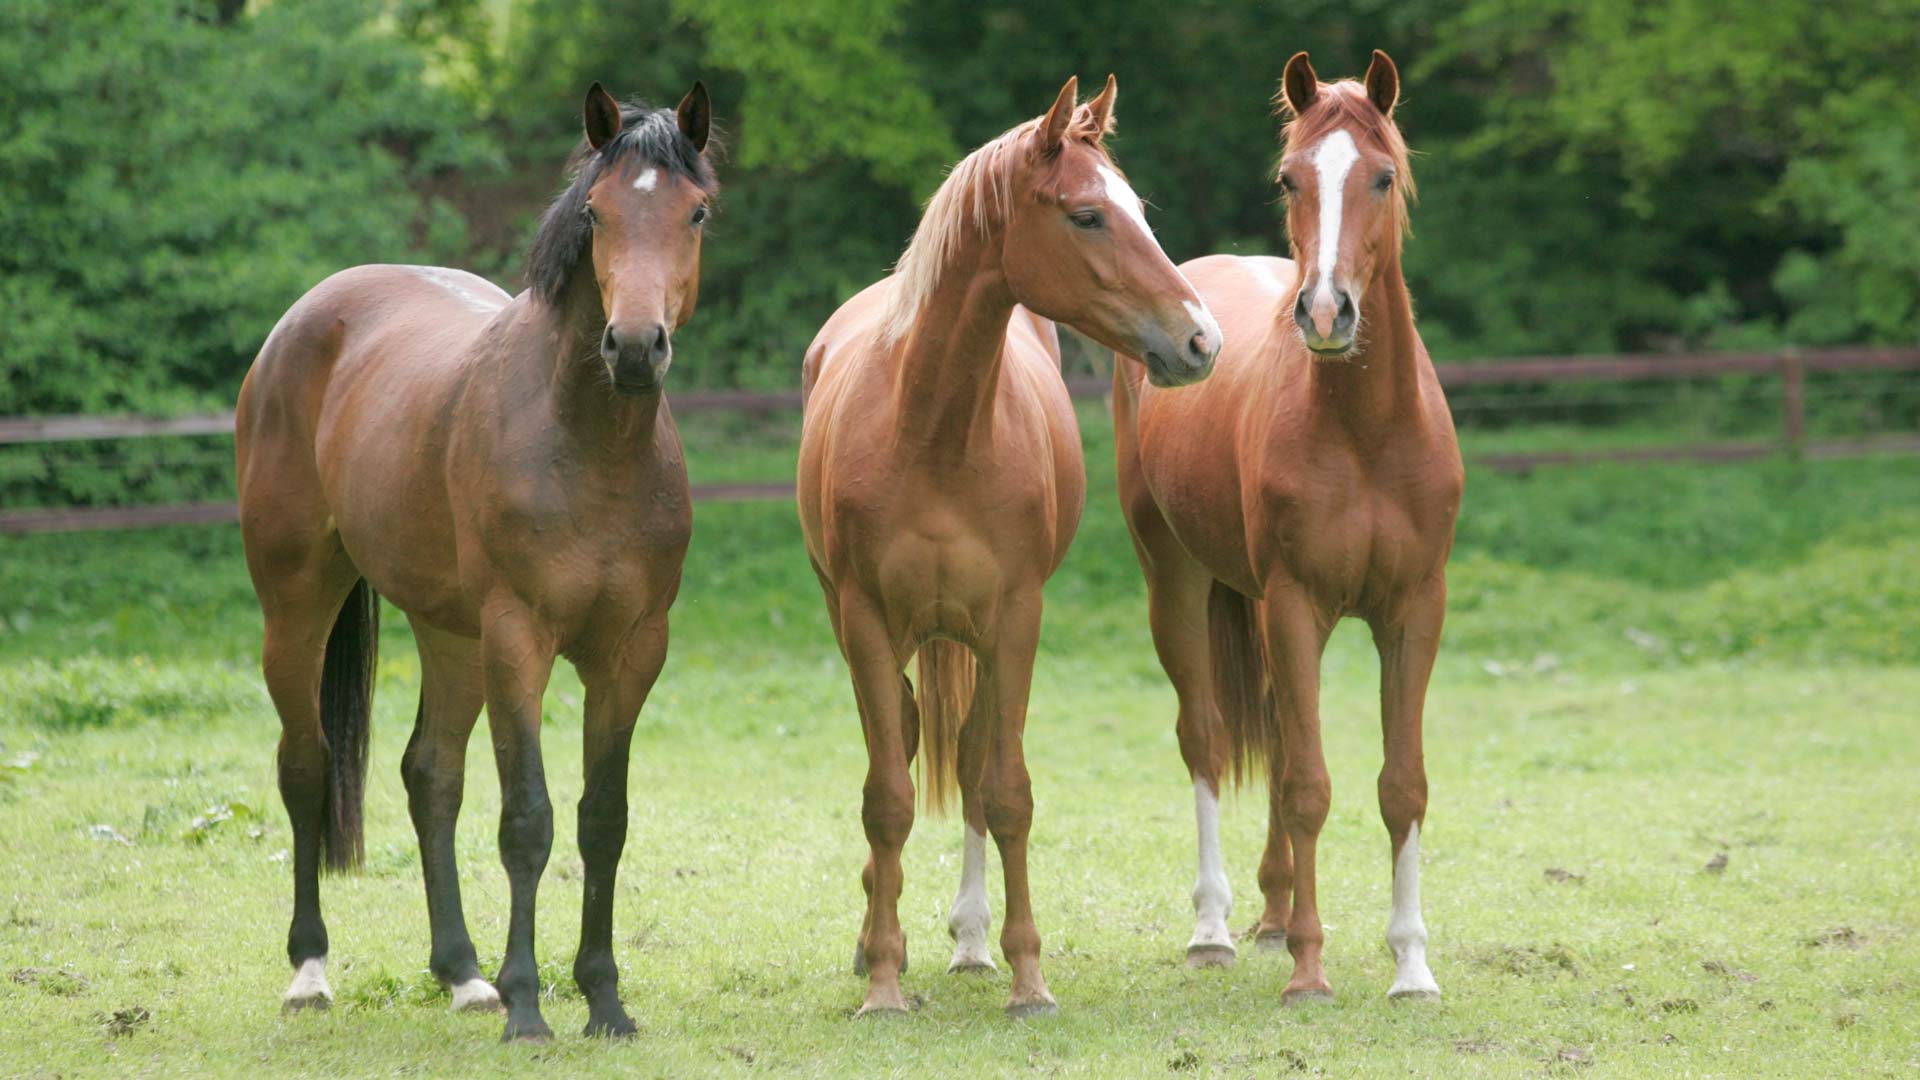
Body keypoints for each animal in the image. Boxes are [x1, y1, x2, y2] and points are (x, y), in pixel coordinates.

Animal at [236, 79, 718, 1037]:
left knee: (431, 776)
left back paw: (461, 972)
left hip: (450, 634)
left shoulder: (631, 653)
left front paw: (603, 999)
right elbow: (527, 819)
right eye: (598, 213)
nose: (634, 346)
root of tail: (304, 320)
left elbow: (602, 818)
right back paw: (310, 969)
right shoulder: (519, 641)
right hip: (299, 603)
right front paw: (529, 1004)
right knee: (306, 766)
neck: (589, 447)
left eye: (696, 211)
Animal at [798, 77, 1221, 1014]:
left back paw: (971, 944)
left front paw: (1028, 975)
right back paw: (884, 939)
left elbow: (1007, 791)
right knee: (909, 742)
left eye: (1138, 209)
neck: (934, 433)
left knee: (969, 758)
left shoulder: (1015, 619)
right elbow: (888, 797)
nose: (1202, 340)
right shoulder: (866, 621)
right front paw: (883, 980)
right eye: (1088, 215)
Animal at [1121, 46, 1459, 999]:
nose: (1325, 312)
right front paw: (1310, 967)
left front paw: (1411, 965)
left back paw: (1271, 914)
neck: (1366, 432)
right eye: (1289, 177)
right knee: (1206, 738)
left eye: (1381, 176)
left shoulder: (1413, 612)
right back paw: (1217, 928)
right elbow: (1309, 783)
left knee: (1270, 735)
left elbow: (1402, 786)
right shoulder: (1296, 605)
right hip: (1179, 586)